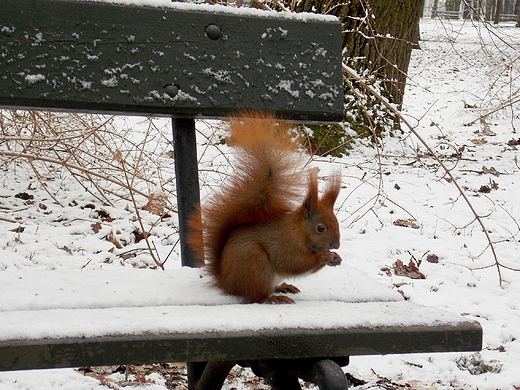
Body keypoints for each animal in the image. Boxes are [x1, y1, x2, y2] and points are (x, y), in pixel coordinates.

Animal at [189, 111, 344, 304]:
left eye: (337, 223)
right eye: (320, 228)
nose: (336, 245)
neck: (297, 231)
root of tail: (226, 282)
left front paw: (335, 258)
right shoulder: (284, 245)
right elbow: (292, 263)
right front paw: (323, 256)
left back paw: (283, 287)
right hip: (255, 264)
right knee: (256, 296)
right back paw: (273, 297)